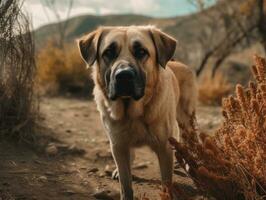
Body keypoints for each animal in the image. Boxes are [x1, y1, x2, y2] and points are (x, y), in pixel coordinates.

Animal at [77, 25, 197, 199]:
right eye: (109, 52)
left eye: (141, 51)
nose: (124, 76)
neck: (133, 113)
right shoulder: (118, 146)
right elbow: (125, 184)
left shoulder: (164, 148)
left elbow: (167, 183)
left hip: (187, 120)